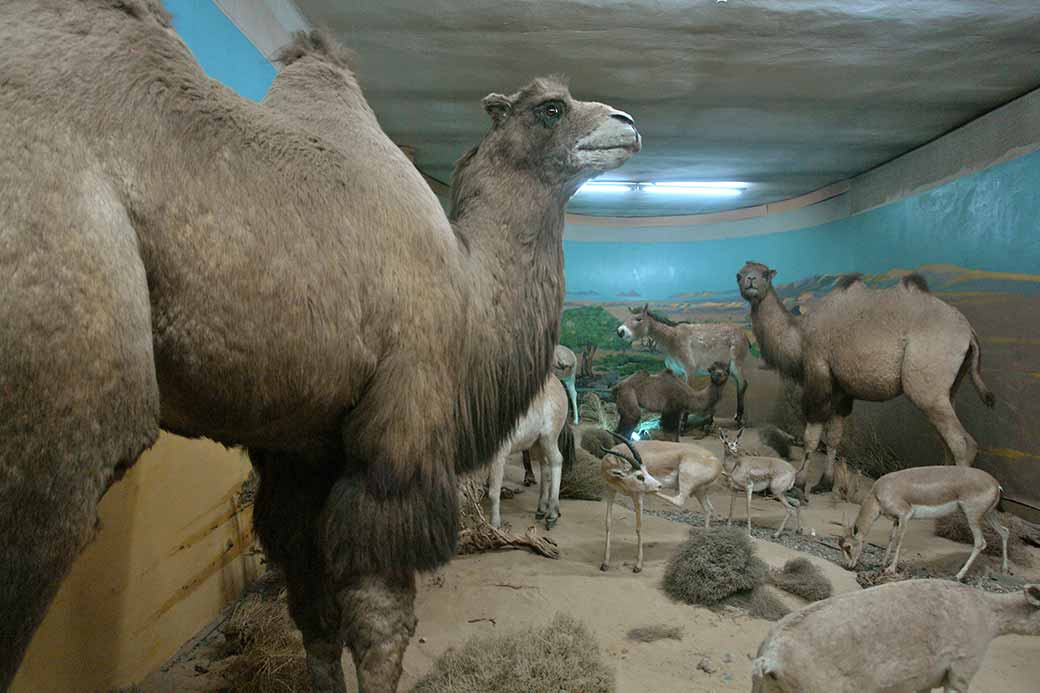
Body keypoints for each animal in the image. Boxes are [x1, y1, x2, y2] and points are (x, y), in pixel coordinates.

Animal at [0, 2, 636, 686]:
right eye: (550, 107)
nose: (627, 124)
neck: (470, 287)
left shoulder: (301, 448)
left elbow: (315, 614)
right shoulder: (403, 422)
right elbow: (380, 627)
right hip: (55, 412)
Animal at [736, 259, 994, 491]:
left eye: (765, 273)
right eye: (739, 274)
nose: (750, 280)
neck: (799, 336)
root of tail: (969, 333)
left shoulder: (818, 370)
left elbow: (811, 435)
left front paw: (799, 484)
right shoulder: (841, 389)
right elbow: (834, 436)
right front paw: (825, 483)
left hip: (926, 388)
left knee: (963, 443)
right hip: (950, 389)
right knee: (948, 440)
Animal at [836, 464, 1006, 578]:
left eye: (848, 547)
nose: (848, 566)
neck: (878, 494)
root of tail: (996, 484)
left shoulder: (905, 515)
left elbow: (899, 540)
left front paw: (891, 569)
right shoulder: (896, 520)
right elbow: (891, 538)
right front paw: (883, 563)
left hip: (972, 516)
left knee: (980, 543)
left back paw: (958, 575)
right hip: (988, 515)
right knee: (1005, 531)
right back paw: (1004, 569)